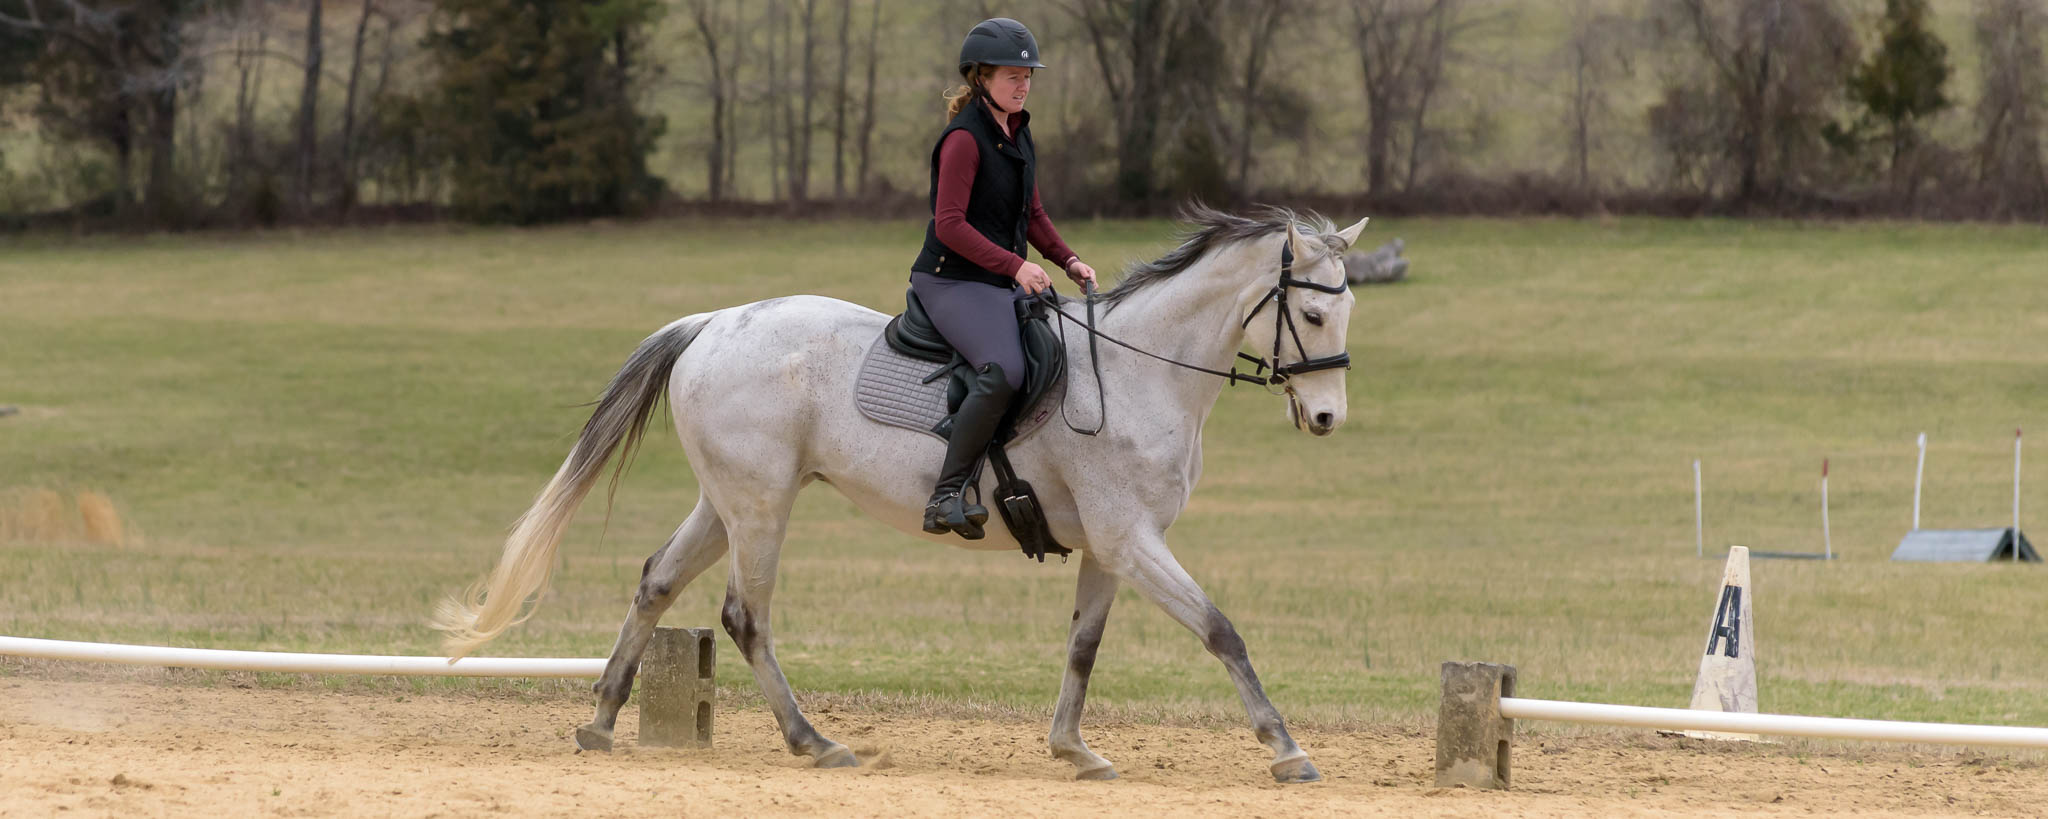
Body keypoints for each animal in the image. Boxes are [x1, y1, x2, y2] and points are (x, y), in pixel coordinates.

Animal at [436, 204, 1359, 782]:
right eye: (1313, 317)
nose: (1325, 418)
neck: (1141, 372)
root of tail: (711, 323)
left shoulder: (1110, 544)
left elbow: (1083, 648)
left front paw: (1074, 749)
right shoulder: (1132, 538)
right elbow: (1221, 630)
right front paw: (1286, 748)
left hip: (728, 501)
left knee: (657, 581)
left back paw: (600, 721)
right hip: (762, 507)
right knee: (744, 616)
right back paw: (814, 741)